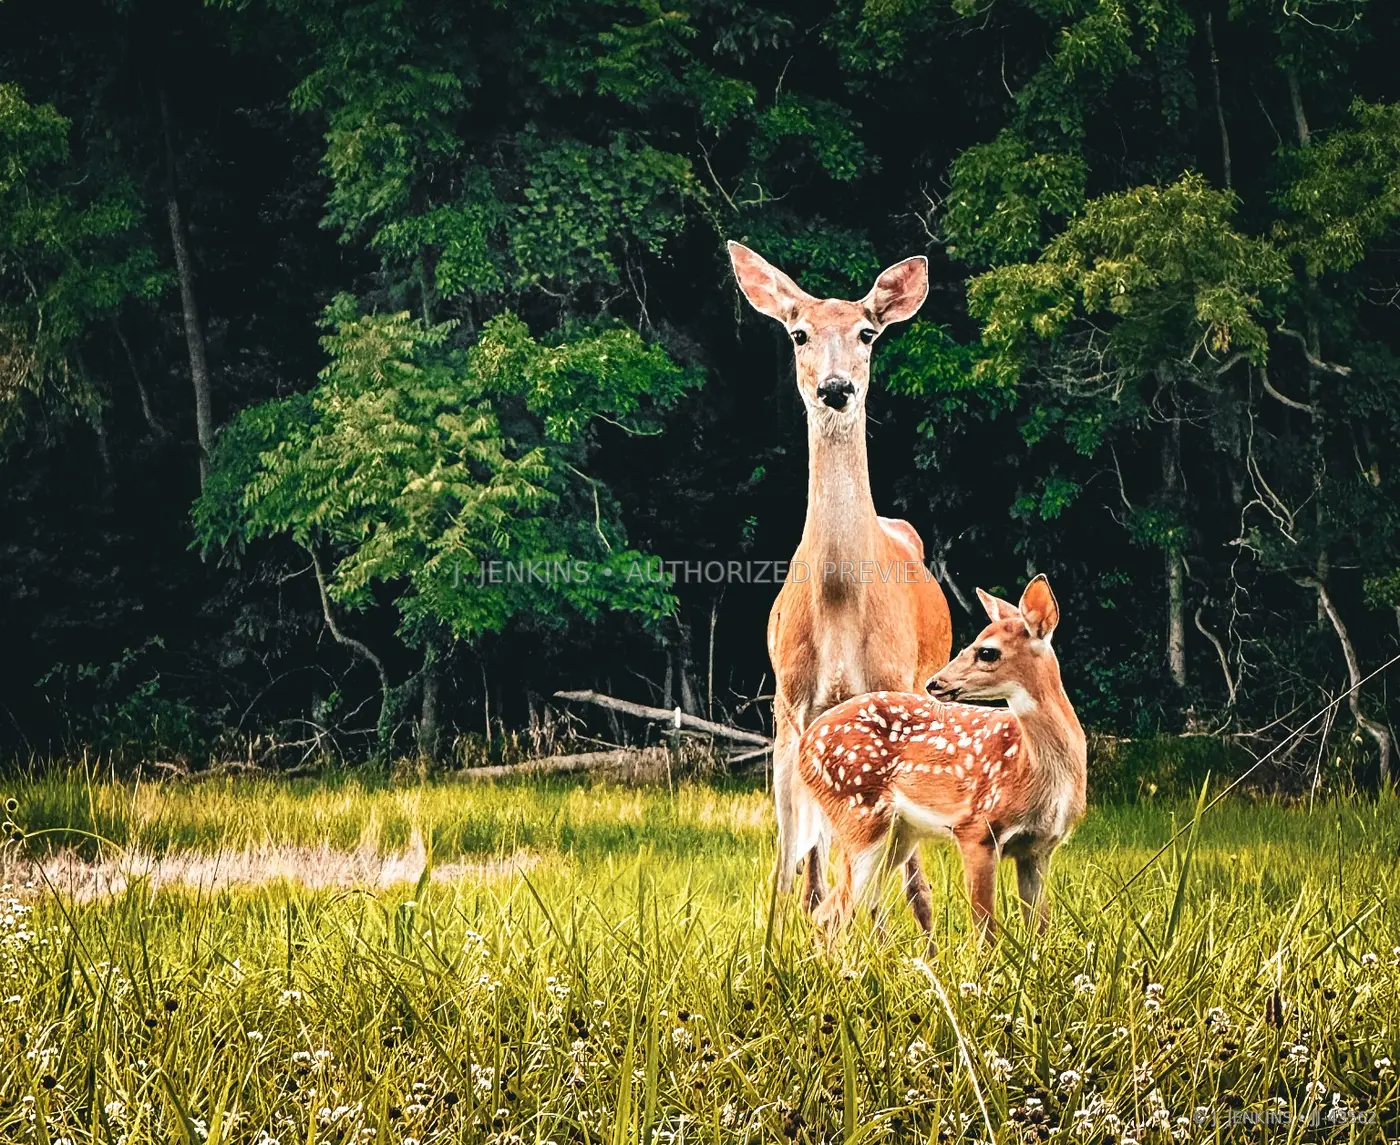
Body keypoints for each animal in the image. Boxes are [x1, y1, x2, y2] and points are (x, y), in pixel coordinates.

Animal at [727, 241, 953, 922]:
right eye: (798, 333)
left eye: (867, 333)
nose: (835, 388)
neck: (838, 610)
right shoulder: (791, 701)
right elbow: (802, 866)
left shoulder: (891, 687)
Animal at [796, 575, 1085, 942]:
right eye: (966, 646)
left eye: (987, 652)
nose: (935, 683)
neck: (1031, 769)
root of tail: (805, 744)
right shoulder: (976, 828)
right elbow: (984, 931)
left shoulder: (1039, 848)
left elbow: (1040, 930)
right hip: (859, 815)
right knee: (830, 912)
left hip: (898, 835)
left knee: (843, 907)